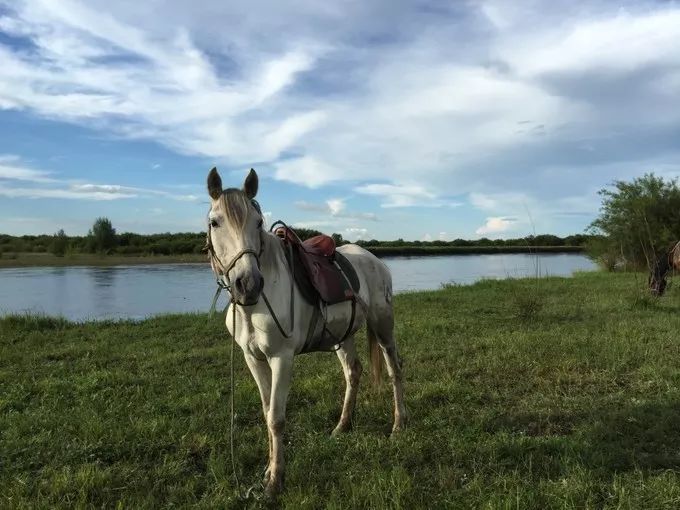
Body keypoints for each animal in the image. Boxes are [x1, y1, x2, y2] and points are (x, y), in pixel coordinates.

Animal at [205, 169, 406, 496]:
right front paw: (268, 470)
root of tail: (375, 260)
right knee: (353, 372)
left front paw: (275, 481)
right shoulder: (252, 358)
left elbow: (276, 417)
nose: (248, 284)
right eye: (214, 222)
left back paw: (399, 425)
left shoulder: (282, 359)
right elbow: (266, 412)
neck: (256, 305)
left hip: (383, 326)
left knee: (394, 369)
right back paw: (342, 426)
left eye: (258, 222)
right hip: (343, 336)